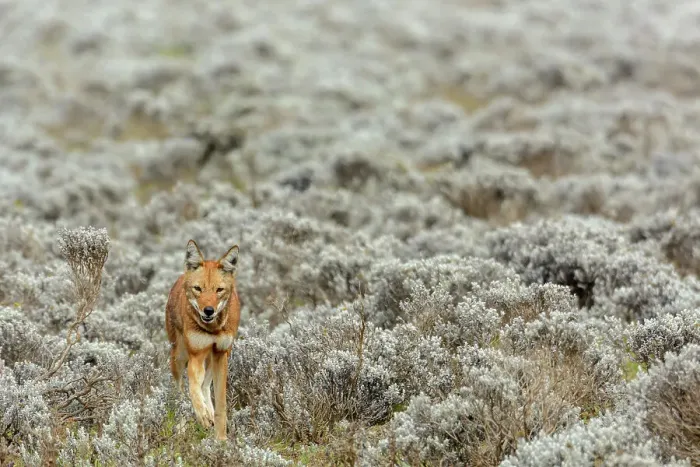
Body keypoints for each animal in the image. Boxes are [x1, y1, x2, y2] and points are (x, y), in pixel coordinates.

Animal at [165, 239, 241, 440]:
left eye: (219, 290)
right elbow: (192, 388)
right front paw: (202, 415)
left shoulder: (221, 353)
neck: (212, 329)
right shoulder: (196, 356)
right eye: (198, 289)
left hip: (217, 357)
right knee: (181, 392)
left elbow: (221, 405)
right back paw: (182, 428)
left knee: (206, 385)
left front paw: (221, 440)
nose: (208, 311)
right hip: (179, 357)